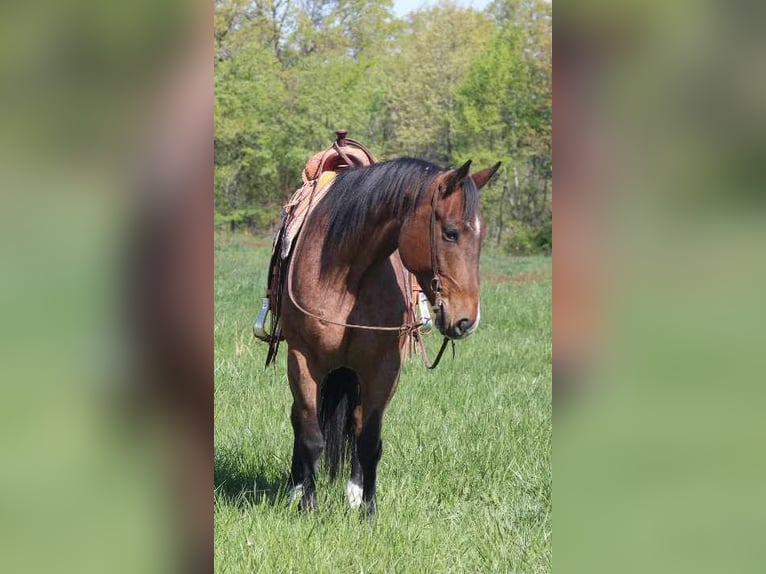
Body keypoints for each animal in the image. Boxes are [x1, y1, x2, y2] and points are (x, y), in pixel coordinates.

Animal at [280, 156, 500, 516]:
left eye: (481, 239)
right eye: (451, 233)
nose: (467, 320)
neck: (345, 272)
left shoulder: (383, 368)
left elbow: (369, 440)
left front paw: (368, 510)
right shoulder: (303, 360)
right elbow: (310, 432)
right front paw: (307, 504)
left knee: (355, 425)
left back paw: (353, 493)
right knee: (300, 419)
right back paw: (296, 488)